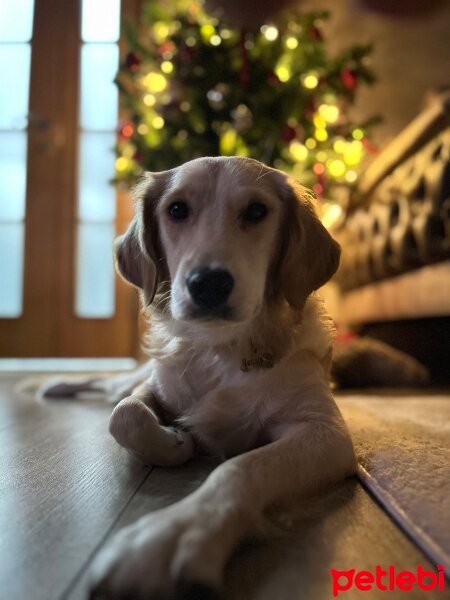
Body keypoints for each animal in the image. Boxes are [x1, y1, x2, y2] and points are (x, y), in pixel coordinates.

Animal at [44, 156, 356, 600]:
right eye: (177, 210)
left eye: (256, 211)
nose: (208, 283)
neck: (220, 347)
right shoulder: (156, 388)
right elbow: (126, 417)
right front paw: (173, 443)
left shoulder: (325, 432)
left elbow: (240, 468)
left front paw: (169, 536)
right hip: (133, 375)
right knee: (108, 389)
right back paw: (55, 384)